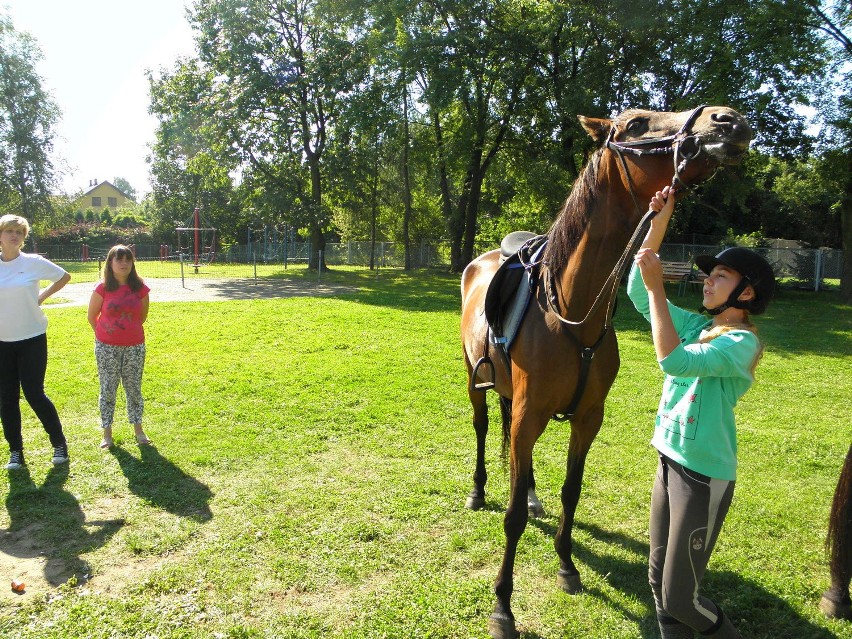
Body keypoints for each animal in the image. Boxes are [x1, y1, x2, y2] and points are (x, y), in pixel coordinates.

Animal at [462, 106, 748, 639]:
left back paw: (531, 495)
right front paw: (503, 606)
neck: (570, 312)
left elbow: (571, 493)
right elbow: (512, 518)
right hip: (476, 382)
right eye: (636, 124)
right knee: (483, 428)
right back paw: (477, 489)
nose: (728, 120)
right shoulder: (529, 415)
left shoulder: (586, 418)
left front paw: (566, 565)